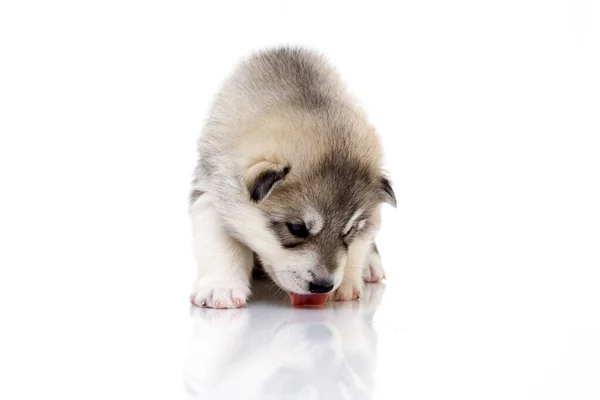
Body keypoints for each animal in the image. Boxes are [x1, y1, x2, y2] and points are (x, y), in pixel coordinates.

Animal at [188, 47, 394, 310]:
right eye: (297, 228)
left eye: (348, 231)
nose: (323, 286)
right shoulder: (211, 192)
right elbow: (222, 245)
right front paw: (221, 287)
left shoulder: (368, 222)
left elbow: (358, 246)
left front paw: (347, 282)